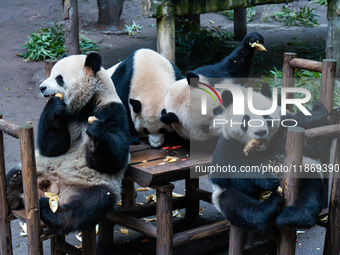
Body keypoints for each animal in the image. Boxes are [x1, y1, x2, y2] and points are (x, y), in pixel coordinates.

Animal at [5, 53, 129, 233]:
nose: (42, 88)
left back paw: (49, 211)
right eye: (50, 74)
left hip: (93, 185)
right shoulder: (67, 115)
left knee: (90, 203)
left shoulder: (112, 109)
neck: (86, 105)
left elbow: (115, 159)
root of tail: (55, 190)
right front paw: (53, 105)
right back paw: (13, 187)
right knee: (14, 170)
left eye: (59, 78)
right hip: (36, 168)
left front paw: (96, 136)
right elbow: (52, 147)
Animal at [210, 83, 340, 231]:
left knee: (310, 190)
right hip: (222, 195)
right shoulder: (228, 144)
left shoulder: (286, 126)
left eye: (266, 116)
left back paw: (292, 217)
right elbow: (231, 169)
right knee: (236, 202)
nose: (260, 132)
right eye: (246, 120)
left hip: (307, 170)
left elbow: (313, 136)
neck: (262, 149)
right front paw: (267, 178)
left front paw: (332, 117)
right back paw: (268, 209)